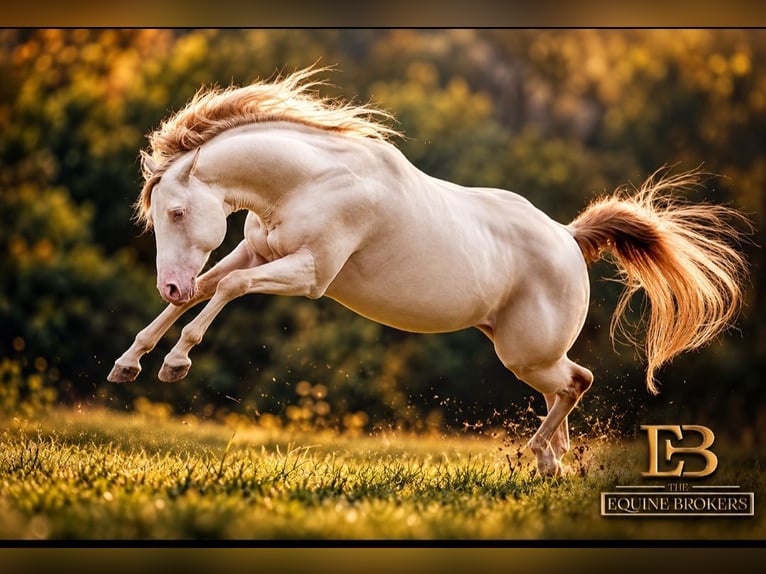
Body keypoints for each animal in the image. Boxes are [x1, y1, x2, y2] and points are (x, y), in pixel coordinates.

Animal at [107, 66, 749, 476]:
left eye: (177, 211)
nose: (167, 280)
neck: (312, 180)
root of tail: (568, 239)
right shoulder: (259, 255)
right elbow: (207, 291)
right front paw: (129, 364)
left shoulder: (309, 274)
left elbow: (226, 291)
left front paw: (176, 364)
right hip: (527, 354)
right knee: (566, 392)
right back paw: (549, 464)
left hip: (526, 353)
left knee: (578, 383)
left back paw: (537, 456)